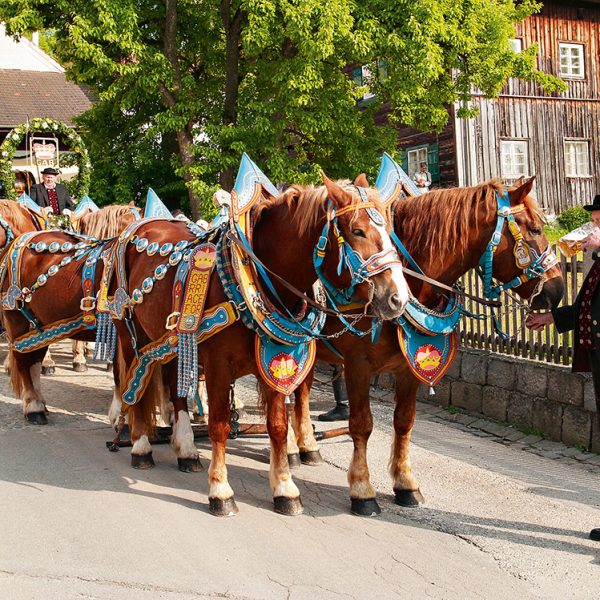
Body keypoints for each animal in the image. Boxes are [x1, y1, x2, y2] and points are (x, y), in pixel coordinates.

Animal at [1, 204, 139, 424]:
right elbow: (122, 374)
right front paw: (121, 417)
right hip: (17, 320)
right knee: (24, 360)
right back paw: (33, 407)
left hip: (38, 324)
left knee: (33, 359)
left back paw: (39, 402)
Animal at [109, 175, 408, 516]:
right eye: (357, 231)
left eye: (390, 229)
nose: (398, 298)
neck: (255, 278)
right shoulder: (217, 364)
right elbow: (219, 425)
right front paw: (220, 491)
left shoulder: (277, 359)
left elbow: (277, 425)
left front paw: (285, 489)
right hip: (129, 332)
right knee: (135, 387)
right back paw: (140, 446)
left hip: (173, 340)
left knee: (175, 389)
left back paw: (185, 450)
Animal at [288, 177, 564, 516]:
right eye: (535, 229)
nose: (558, 289)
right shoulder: (357, 367)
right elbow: (362, 425)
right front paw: (363, 491)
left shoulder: (408, 368)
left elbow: (404, 422)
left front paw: (406, 484)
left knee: (300, 394)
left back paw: (307, 447)